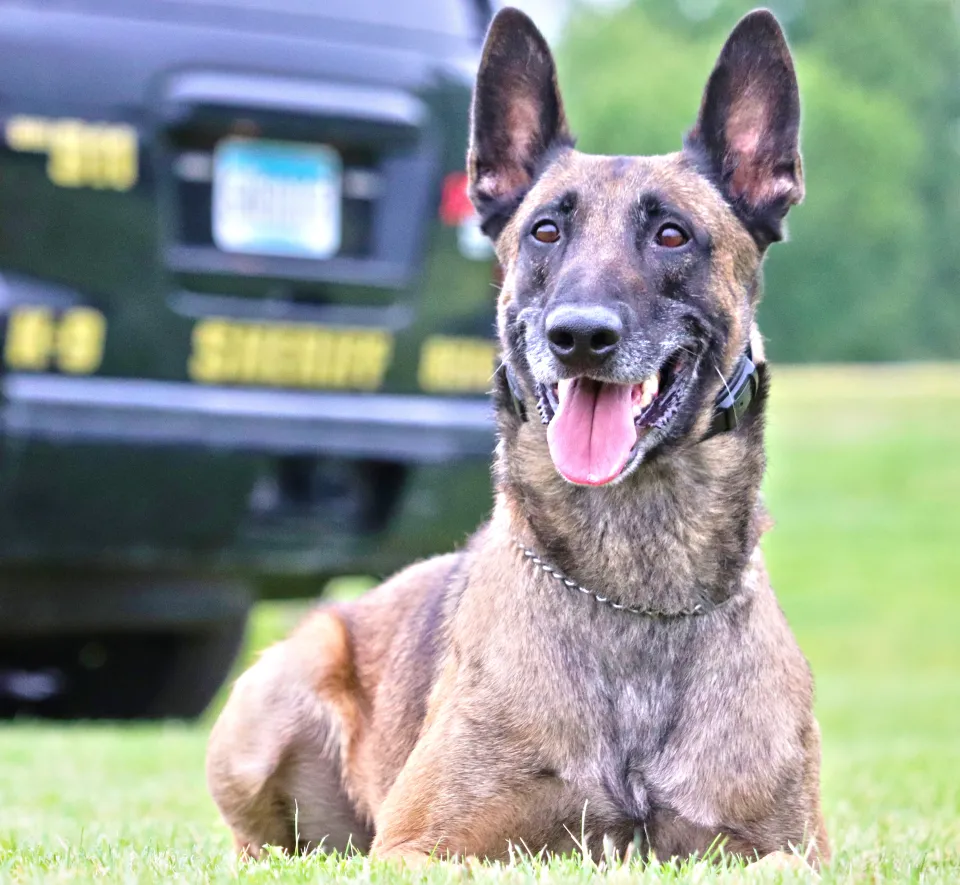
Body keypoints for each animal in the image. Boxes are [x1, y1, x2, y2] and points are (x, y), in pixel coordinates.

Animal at [206, 5, 828, 864]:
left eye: (672, 235)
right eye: (544, 231)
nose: (580, 336)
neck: (635, 592)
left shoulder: (789, 848)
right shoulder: (418, 844)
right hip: (272, 703)